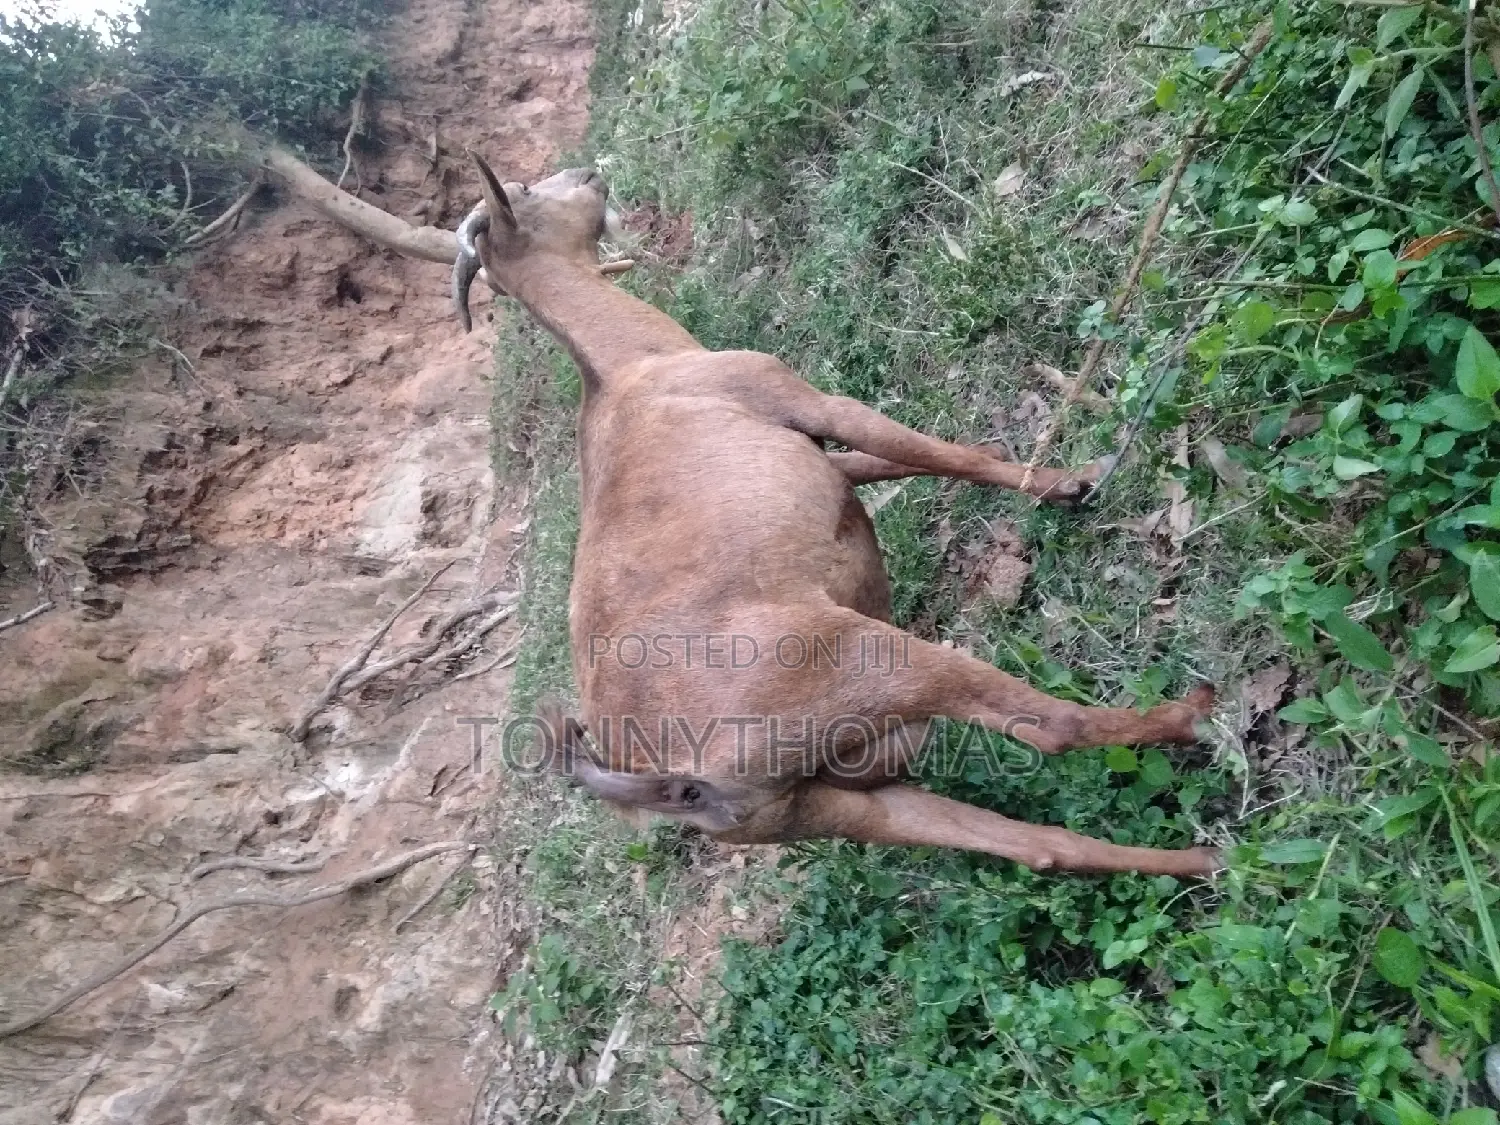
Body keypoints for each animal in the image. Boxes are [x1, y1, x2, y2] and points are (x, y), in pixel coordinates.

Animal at [457, 156, 1220, 878]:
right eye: (526, 188)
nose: (590, 172)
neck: (629, 365)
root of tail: (676, 780)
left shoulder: (816, 449)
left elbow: (880, 464)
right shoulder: (795, 396)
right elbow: (916, 446)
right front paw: (1066, 482)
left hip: (829, 801)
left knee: (1040, 846)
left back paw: (1204, 863)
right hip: (872, 663)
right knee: (1047, 726)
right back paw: (1193, 717)